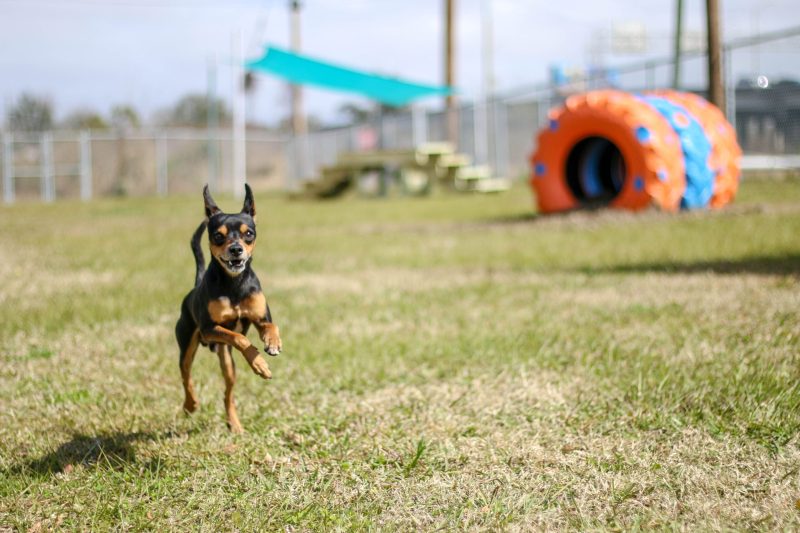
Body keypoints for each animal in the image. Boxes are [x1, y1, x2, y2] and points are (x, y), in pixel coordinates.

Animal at [175, 183, 282, 432]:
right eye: (218, 236)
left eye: (248, 234)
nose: (235, 249)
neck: (234, 284)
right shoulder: (209, 329)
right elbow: (240, 338)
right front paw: (260, 364)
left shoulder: (260, 319)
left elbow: (271, 326)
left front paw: (273, 343)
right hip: (187, 346)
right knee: (186, 376)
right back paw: (190, 405)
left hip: (228, 364)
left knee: (228, 394)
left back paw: (233, 423)